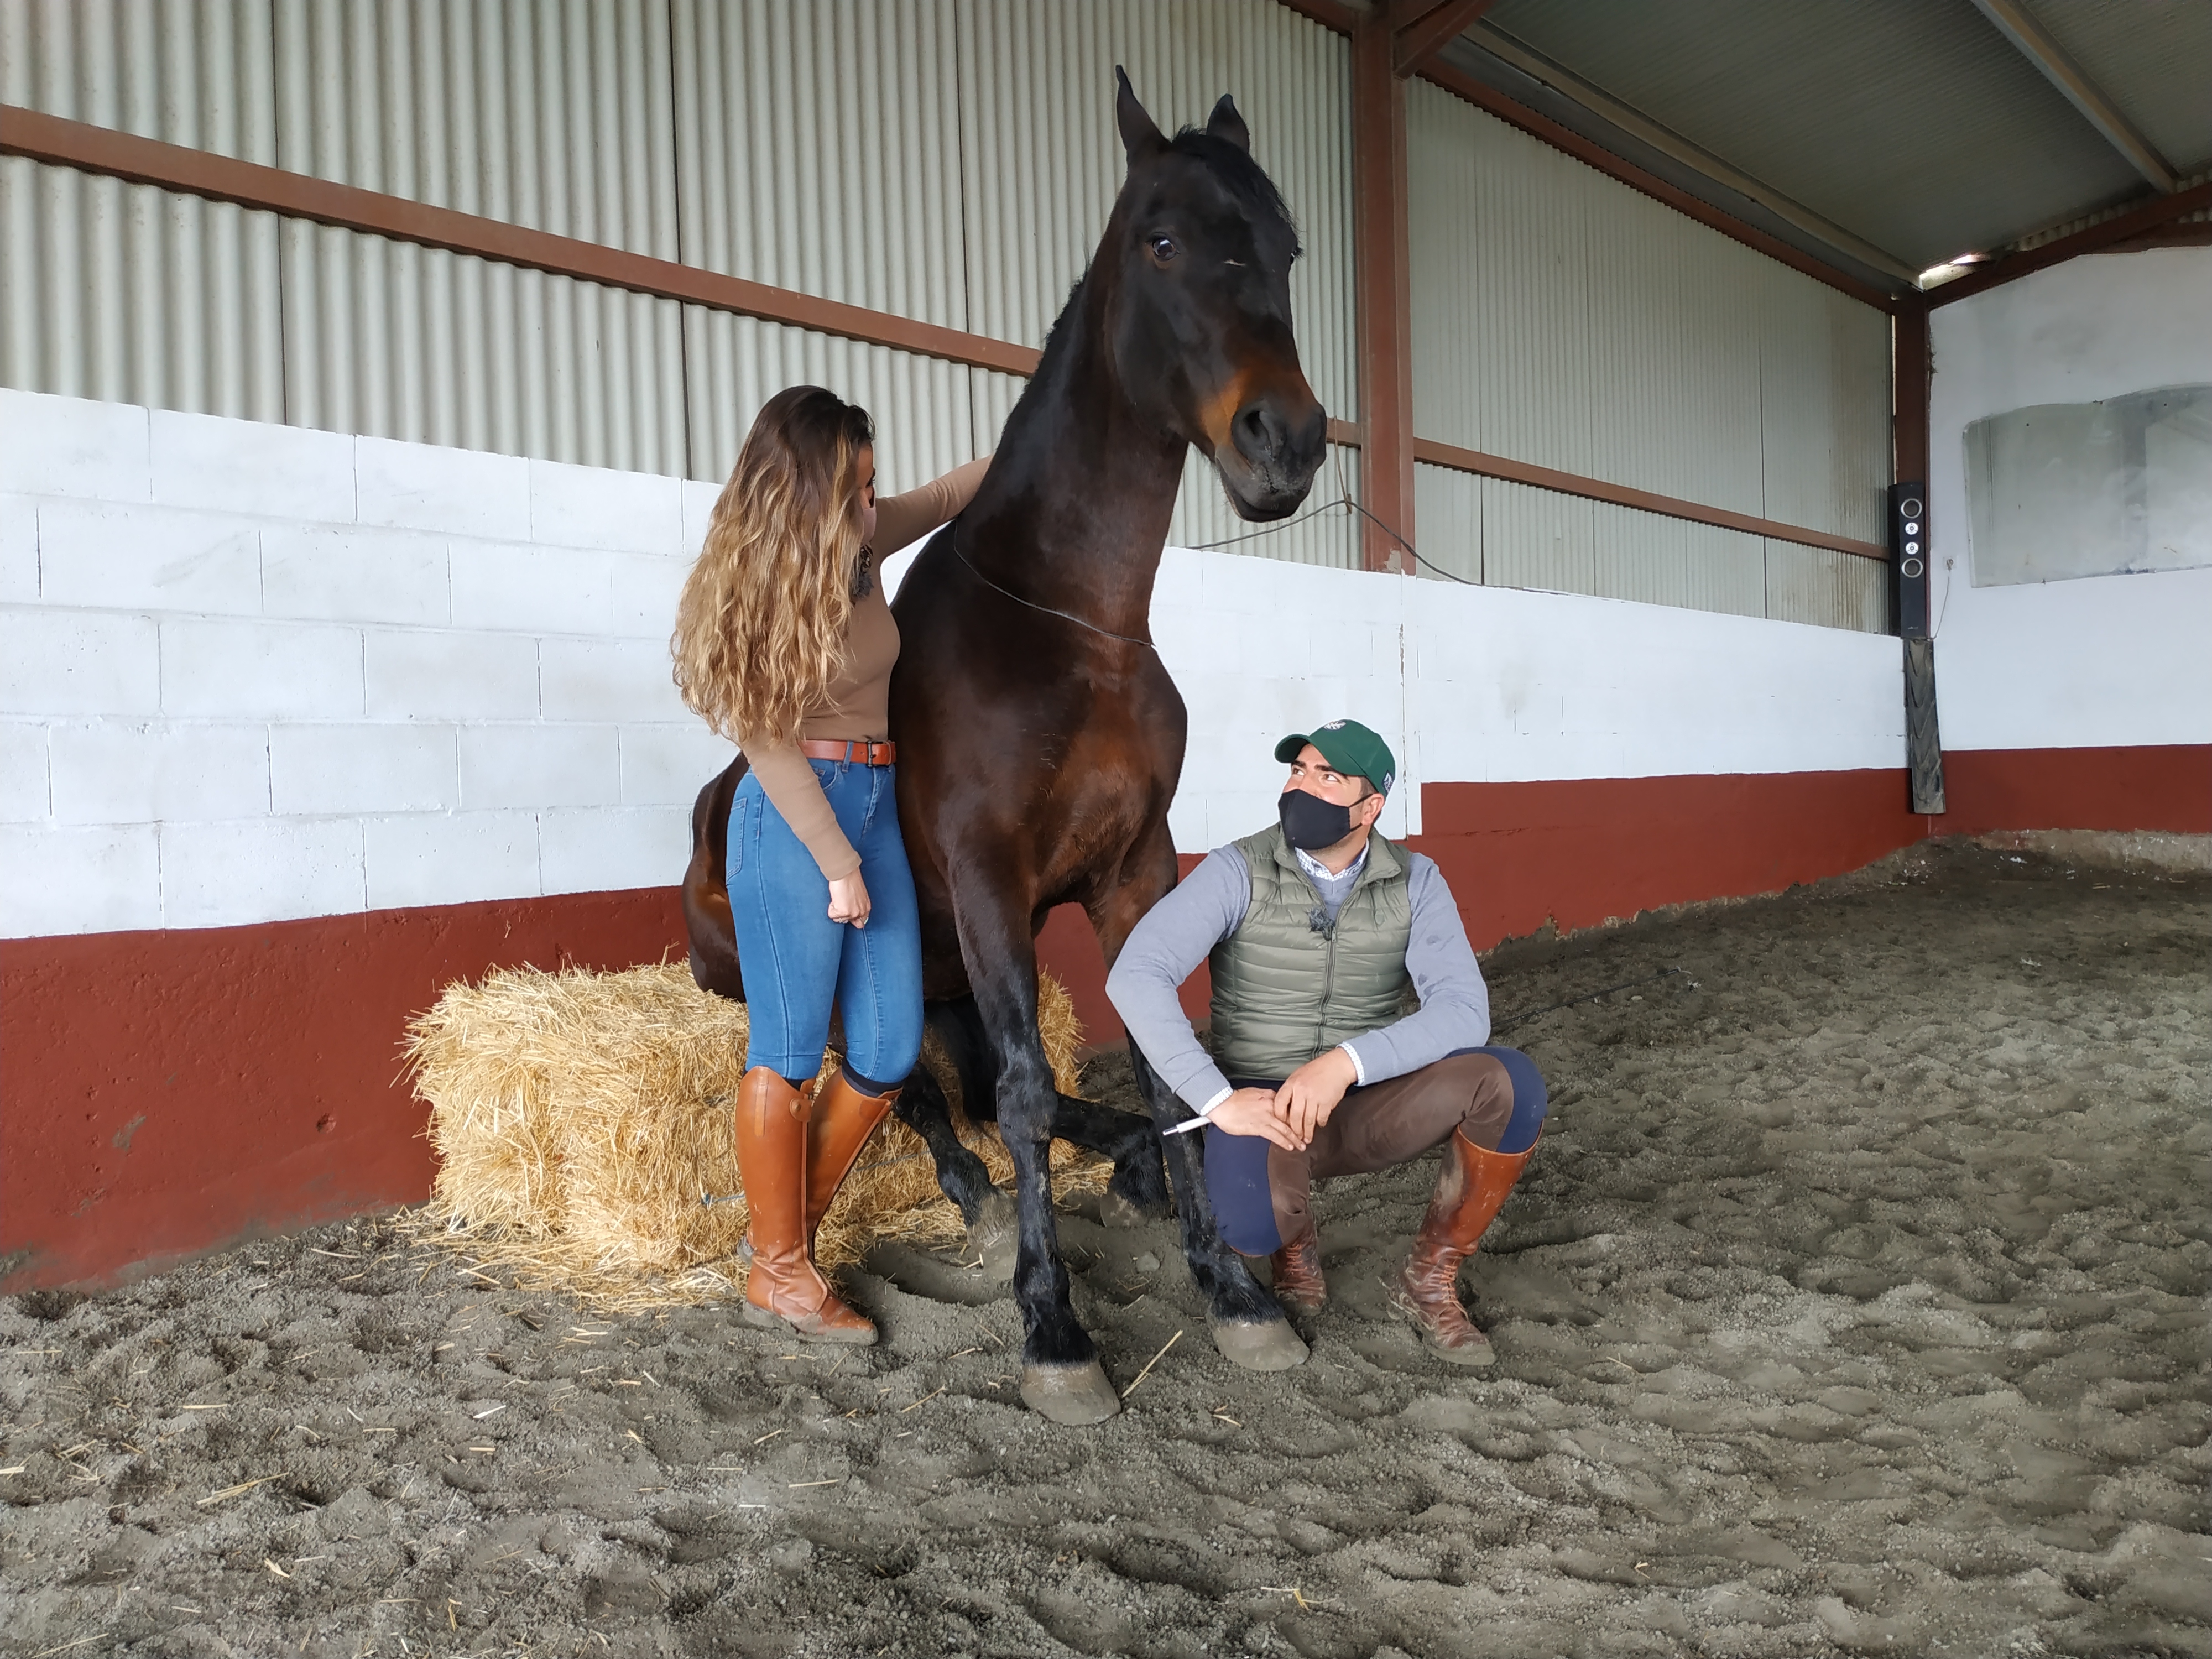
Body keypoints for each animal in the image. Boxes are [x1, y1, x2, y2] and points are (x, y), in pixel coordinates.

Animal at [681, 75, 1318, 1433]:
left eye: (1284, 248)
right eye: (1164, 240)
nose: (1282, 441)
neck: (1067, 629)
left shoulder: (1136, 870)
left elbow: (1158, 1072)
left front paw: (1234, 1294)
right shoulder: (987, 881)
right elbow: (1024, 1101)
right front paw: (1053, 1329)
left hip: (951, 993)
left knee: (976, 1091)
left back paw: (1119, 1171)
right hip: (829, 987)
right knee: (916, 1099)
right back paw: (964, 1200)